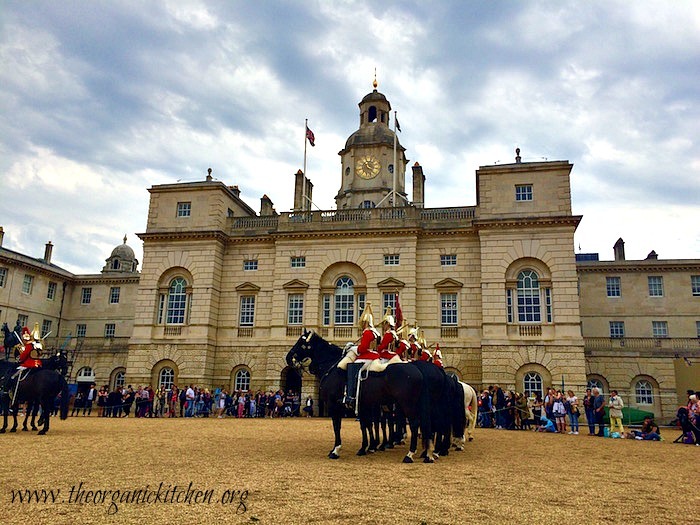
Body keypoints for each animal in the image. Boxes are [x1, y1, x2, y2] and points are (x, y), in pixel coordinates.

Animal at [288, 330, 456, 460]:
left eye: (301, 343)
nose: (288, 358)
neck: (332, 364)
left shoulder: (335, 403)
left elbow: (338, 426)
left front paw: (336, 450)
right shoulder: (364, 404)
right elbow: (367, 425)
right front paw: (366, 447)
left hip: (408, 403)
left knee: (418, 424)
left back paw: (412, 454)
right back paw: (430, 452)